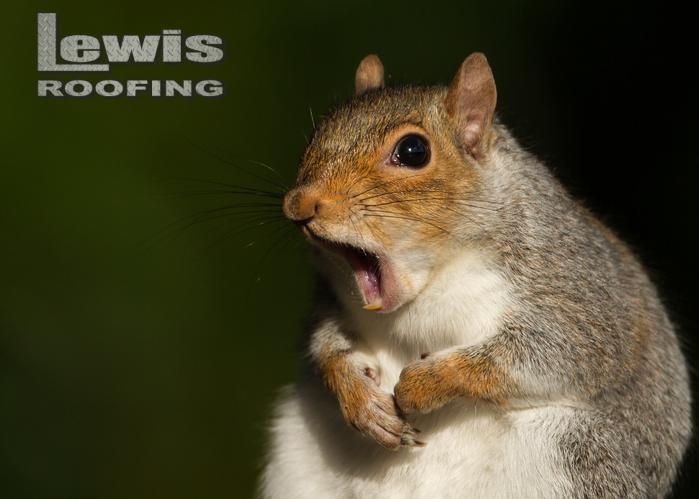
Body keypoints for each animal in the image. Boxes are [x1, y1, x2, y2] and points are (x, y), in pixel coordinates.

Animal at [260, 53, 691, 498]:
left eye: (413, 150)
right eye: (318, 132)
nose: (299, 204)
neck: (431, 283)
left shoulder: (578, 292)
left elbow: (550, 354)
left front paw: (424, 383)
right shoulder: (332, 300)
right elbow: (327, 343)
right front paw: (359, 397)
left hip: (579, 456)